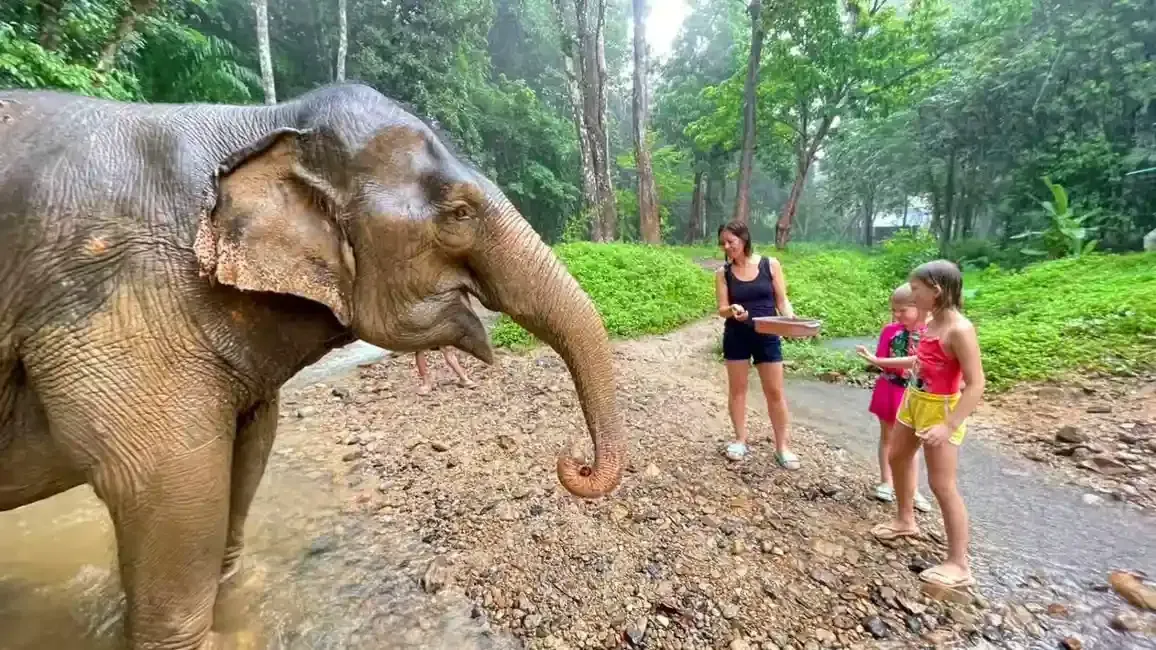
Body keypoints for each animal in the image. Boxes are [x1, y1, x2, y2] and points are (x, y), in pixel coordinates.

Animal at [0, 83, 626, 649]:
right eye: (460, 212)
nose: (574, 463)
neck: (265, 122)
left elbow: (248, 456)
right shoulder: (117, 305)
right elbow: (169, 488)